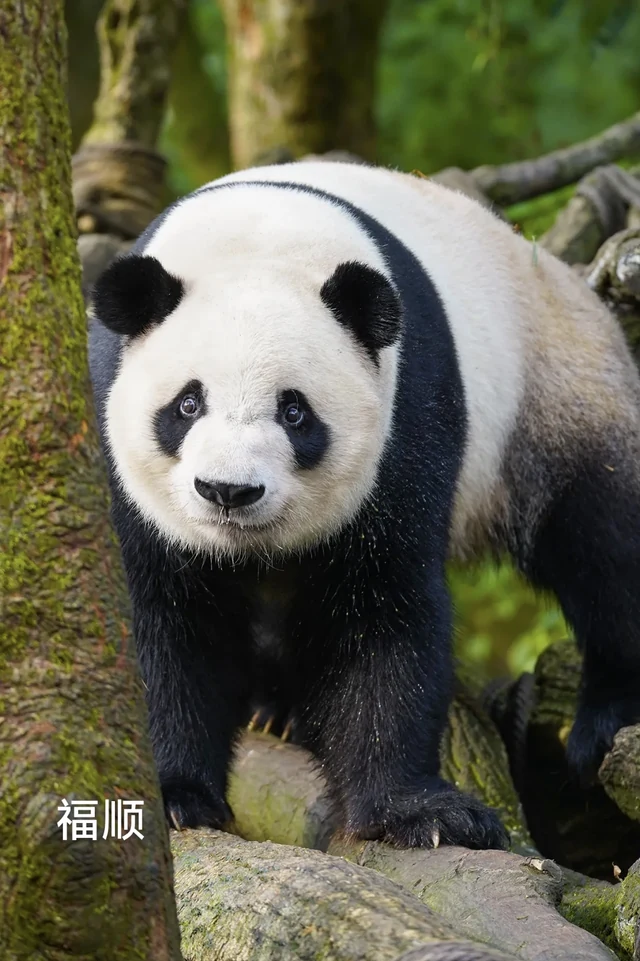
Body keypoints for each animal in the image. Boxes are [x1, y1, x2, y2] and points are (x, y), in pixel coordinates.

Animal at [89, 160, 640, 850]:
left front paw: (417, 811)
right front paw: (175, 796)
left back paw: (605, 721)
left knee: (601, 541)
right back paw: (276, 710)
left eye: (294, 412)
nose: (228, 492)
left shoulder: (408, 415)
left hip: (558, 394)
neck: (258, 237)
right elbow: (161, 616)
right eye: (187, 404)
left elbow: (384, 608)